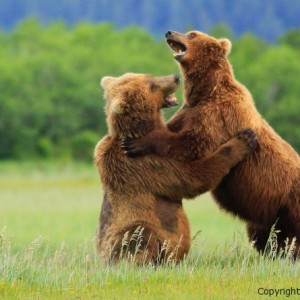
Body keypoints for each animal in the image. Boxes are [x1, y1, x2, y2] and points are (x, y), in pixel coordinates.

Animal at [94, 71, 258, 264]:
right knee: (140, 236)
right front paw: (244, 139)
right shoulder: (146, 165)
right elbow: (192, 178)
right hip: (126, 233)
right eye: (152, 86)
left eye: (149, 76)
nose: (175, 77)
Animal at [123, 29, 300, 255]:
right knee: (265, 236)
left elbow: (192, 144)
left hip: (291, 204)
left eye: (192, 34)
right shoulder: (190, 111)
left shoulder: (218, 115)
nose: (169, 32)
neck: (207, 91)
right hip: (269, 214)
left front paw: (138, 142)